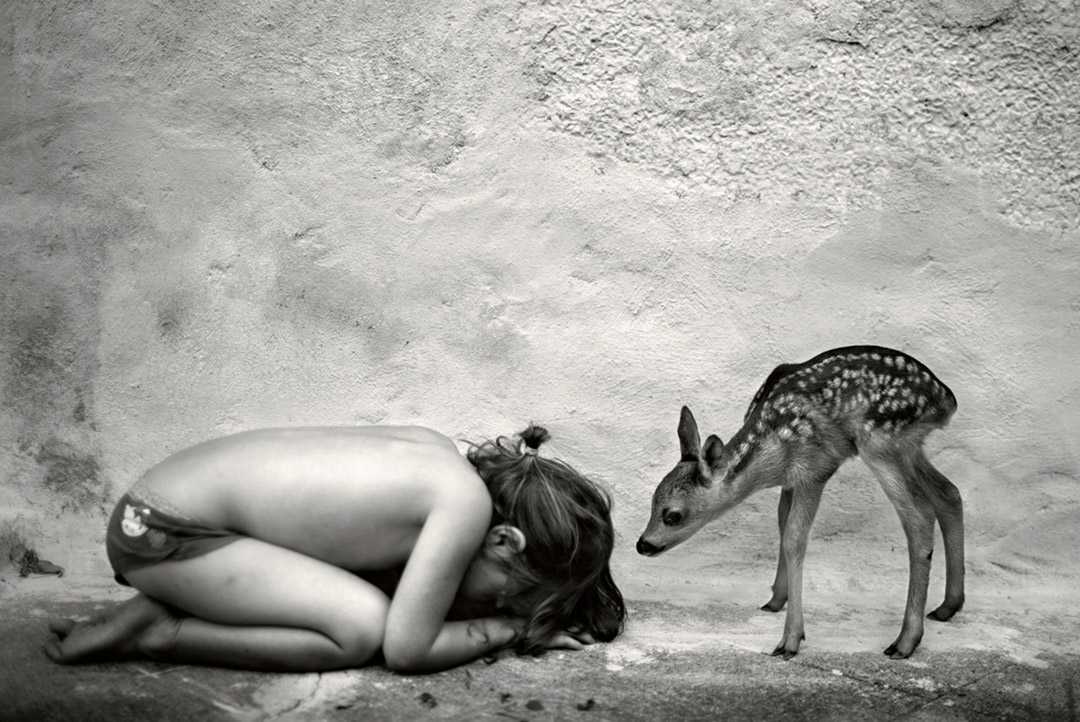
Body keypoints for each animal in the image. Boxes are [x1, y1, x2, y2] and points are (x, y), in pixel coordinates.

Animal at [635, 345, 967, 660]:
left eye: (673, 515)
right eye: (652, 501)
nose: (643, 544)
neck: (770, 455)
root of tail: (946, 399)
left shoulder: (815, 469)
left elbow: (794, 538)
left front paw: (790, 640)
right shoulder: (790, 481)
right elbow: (782, 525)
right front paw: (775, 600)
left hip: (880, 441)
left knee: (919, 517)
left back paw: (905, 641)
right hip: (908, 446)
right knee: (949, 493)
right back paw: (947, 606)